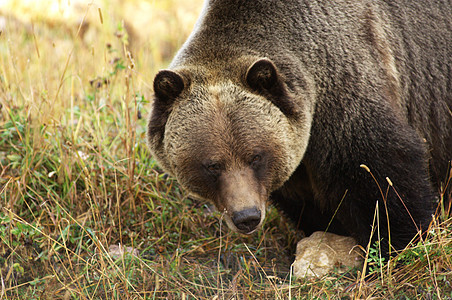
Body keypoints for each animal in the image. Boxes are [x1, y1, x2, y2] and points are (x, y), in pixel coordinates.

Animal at [147, 0, 450, 256]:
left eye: (255, 156)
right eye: (212, 165)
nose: (247, 217)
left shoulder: (346, 94)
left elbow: (383, 176)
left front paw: (397, 242)